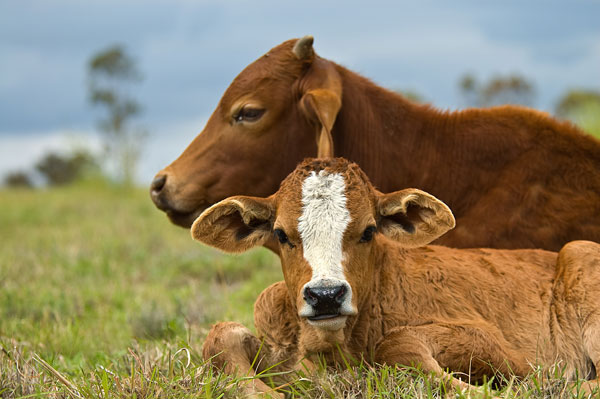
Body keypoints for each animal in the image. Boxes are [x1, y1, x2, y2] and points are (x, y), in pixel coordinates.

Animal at [192, 159, 600, 396]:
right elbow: (221, 337)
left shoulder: (495, 343)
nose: (326, 296)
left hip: (582, 263)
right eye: (280, 234)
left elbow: (398, 343)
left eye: (369, 230)